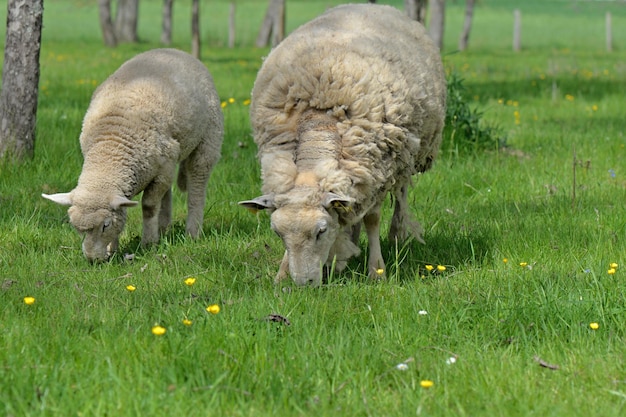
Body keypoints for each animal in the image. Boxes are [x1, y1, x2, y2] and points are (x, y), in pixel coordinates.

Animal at [42, 48, 222, 262]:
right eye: (76, 227)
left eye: (105, 225)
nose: (93, 260)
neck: (110, 149)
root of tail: (176, 51)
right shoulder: (159, 170)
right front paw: (113, 250)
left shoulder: (161, 169)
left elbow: (149, 206)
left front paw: (148, 243)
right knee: (168, 192)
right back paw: (164, 229)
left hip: (208, 139)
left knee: (197, 184)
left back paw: (192, 233)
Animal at [238, 4, 444, 286]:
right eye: (278, 233)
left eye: (321, 231)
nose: (304, 284)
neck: (319, 122)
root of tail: (372, 6)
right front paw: (282, 274)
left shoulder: (376, 172)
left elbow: (372, 219)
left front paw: (376, 270)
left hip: (406, 156)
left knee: (400, 195)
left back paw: (396, 235)